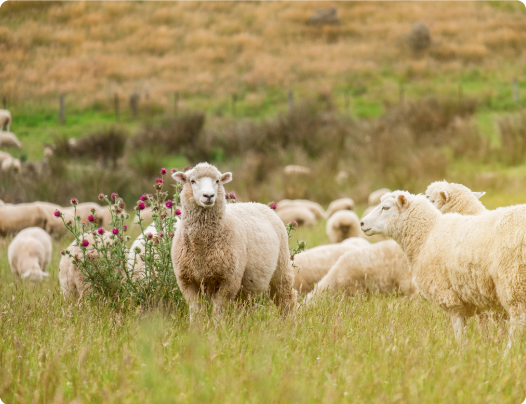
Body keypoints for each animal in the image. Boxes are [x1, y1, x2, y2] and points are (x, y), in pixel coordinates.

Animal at [172, 163, 296, 320]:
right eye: (192, 181)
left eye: (217, 181)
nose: (209, 196)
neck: (202, 248)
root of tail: (257, 203)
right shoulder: (187, 280)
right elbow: (196, 311)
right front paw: (197, 326)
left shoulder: (229, 280)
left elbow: (218, 310)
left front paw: (216, 325)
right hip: (247, 286)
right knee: (246, 306)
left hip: (281, 267)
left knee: (286, 298)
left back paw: (289, 321)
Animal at [364, 189, 526, 348]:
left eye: (386, 207)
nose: (362, 223)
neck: (426, 235)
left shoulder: (449, 296)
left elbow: (459, 330)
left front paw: (461, 350)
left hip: (513, 281)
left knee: (517, 322)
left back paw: (508, 352)